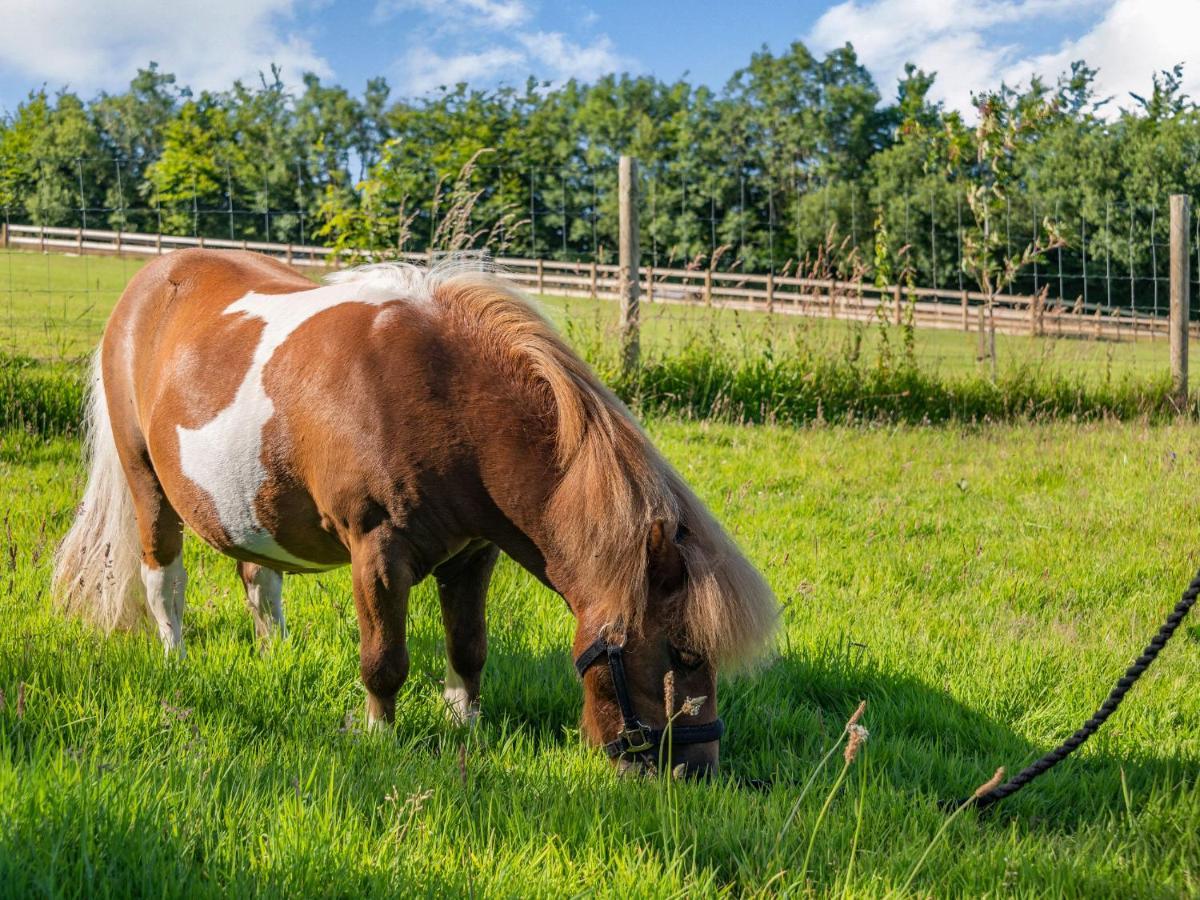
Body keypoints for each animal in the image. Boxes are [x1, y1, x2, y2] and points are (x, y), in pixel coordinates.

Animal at [54, 252, 777, 777]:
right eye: (684, 652)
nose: (697, 773)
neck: (445, 398)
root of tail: (150, 280)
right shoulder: (379, 553)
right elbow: (385, 660)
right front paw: (380, 737)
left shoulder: (474, 555)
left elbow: (469, 646)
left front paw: (466, 726)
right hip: (146, 480)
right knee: (164, 579)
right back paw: (176, 662)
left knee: (260, 579)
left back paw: (274, 657)